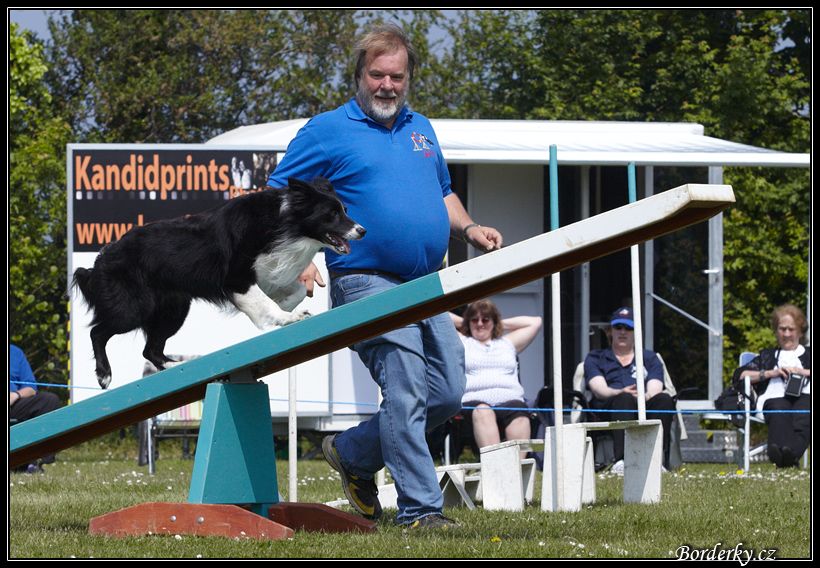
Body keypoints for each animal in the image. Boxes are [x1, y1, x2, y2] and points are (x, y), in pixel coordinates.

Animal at [73, 179, 366, 390]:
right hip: (134, 308)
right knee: (98, 332)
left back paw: (174, 368)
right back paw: (104, 376)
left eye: (345, 210)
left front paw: (285, 310)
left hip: (174, 310)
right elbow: (264, 302)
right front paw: (285, 317)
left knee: (151, 349)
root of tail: (98, 261)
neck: (283, 222)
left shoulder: (265, 273)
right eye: (332, 214)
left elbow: (294, 290)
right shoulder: (236, 278)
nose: (362, 230)